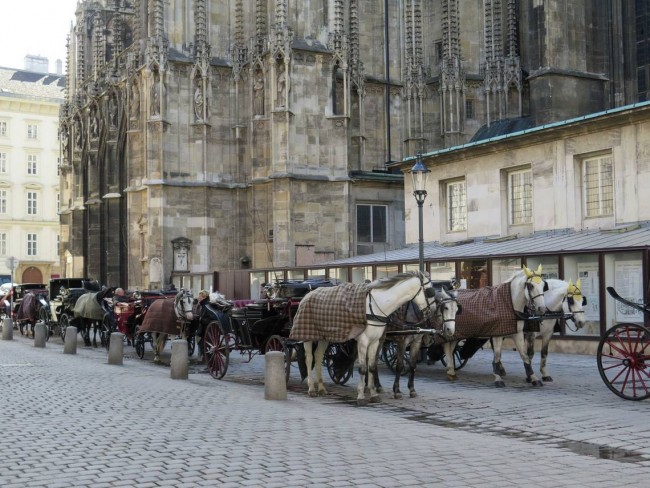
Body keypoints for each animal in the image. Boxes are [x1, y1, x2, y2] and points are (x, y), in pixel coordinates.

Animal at [292, 272, 436, 406]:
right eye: (430, 290)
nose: (432, 311)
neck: (377, 306)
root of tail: (307, 296)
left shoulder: (375, 341)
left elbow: (371, 367)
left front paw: (373, 394)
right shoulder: (364, 341)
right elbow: (363, 368)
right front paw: (361, 396)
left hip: (323, 337)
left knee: (318, 356)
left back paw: (321, 388)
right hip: (308, 336)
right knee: (309, 358)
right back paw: (311, 388)